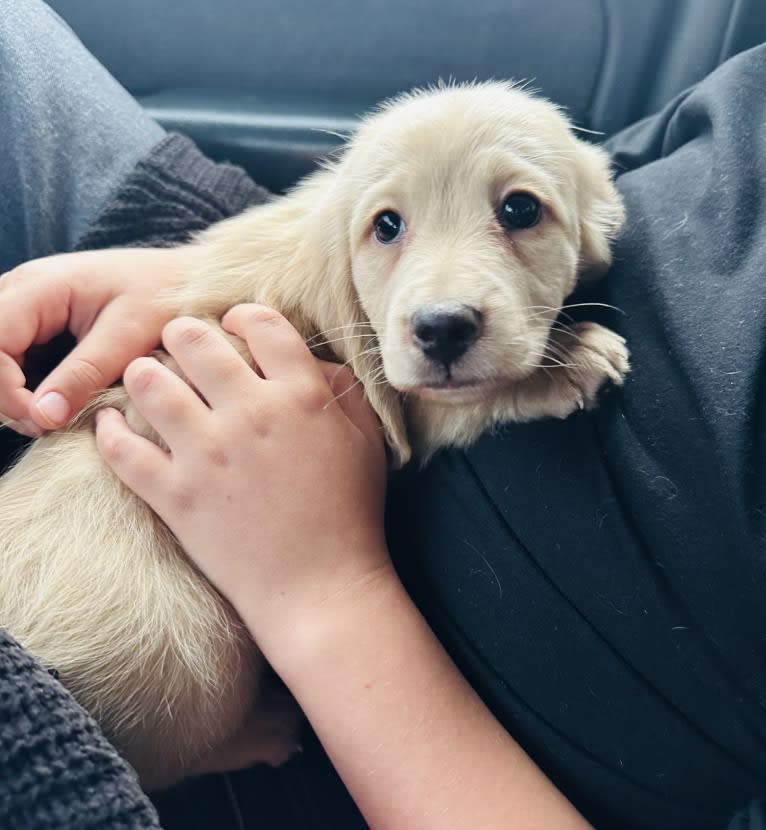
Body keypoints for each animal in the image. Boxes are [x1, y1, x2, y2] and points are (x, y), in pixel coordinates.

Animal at [0, 84, 632, 792]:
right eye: (386, 225)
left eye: (521, 208)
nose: (442, 328)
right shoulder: (390, 395)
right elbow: (464, 399)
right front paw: (567, 362)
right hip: (190, 644)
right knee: (165, 762)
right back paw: (264, 733)